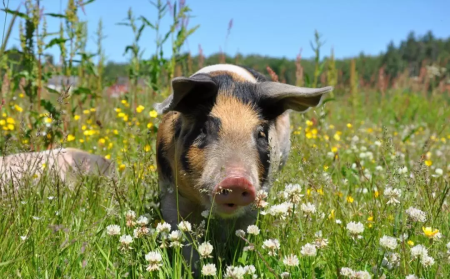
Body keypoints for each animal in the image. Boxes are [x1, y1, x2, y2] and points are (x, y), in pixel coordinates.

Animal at [153, 64, 332, 276]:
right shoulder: (169, 190)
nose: (237, 181)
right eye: (203, 129)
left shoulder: (257, 198)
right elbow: (183, 237)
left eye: (261, 133)